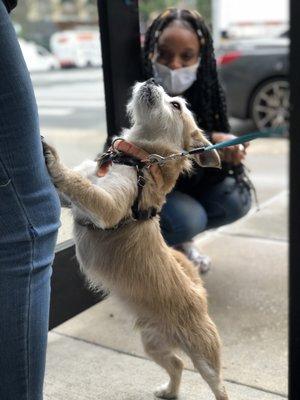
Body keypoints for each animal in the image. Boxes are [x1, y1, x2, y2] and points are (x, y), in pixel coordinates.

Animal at [42, 79, 227, 400]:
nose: (153, 80)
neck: (135, 158)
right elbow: (74, 188)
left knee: (218, 385)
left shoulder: (107, 207)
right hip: (153, 344)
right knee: (177, 364)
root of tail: (198, 293)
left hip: (204, 354)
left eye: (176, 105)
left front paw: (54, 161)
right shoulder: (73, 201)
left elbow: (79, 185)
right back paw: (169, 391)